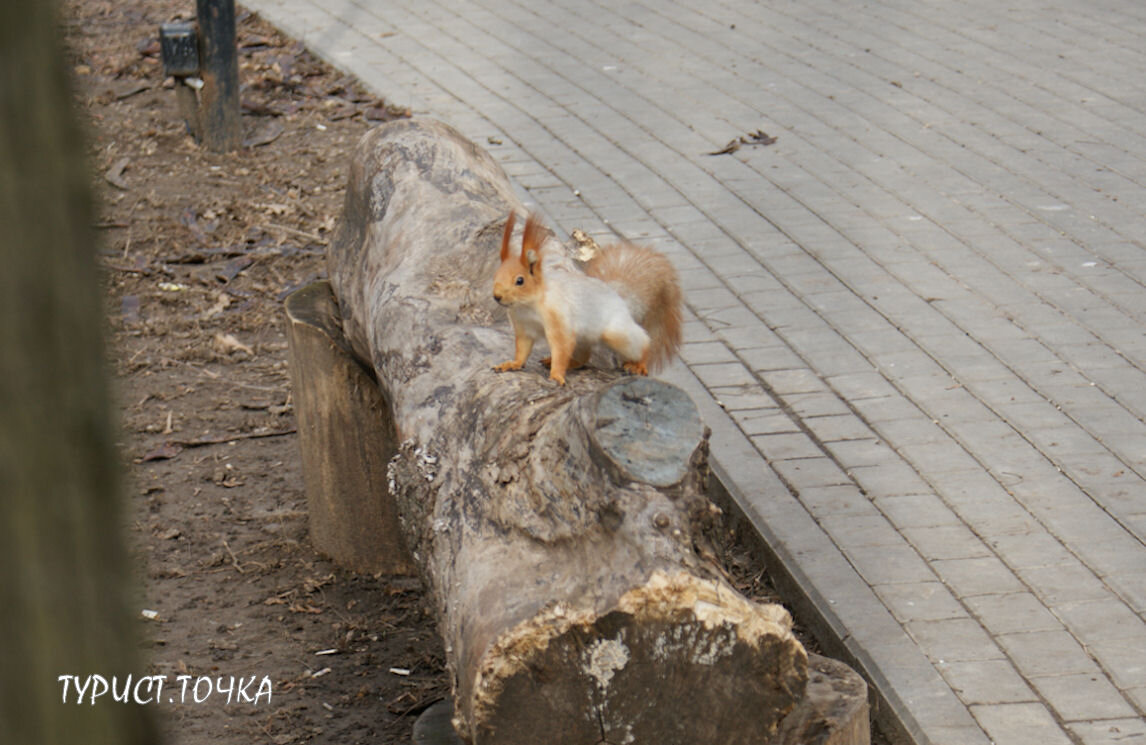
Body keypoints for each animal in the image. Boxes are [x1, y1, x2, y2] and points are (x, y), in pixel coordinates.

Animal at [490, 208, 678, 382]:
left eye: (520, 280)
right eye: (496, 274)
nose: (497, 297)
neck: (528, 306)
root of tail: (619, 298)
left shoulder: (558, 319)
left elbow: (561, 347)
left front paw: (557, 375)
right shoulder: (524, 327)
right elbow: (522, 349)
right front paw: (512, 364)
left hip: (615, 333)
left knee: (642, 342)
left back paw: (639, 363)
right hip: (584, 338)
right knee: (583, 357)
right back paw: (565, 362)